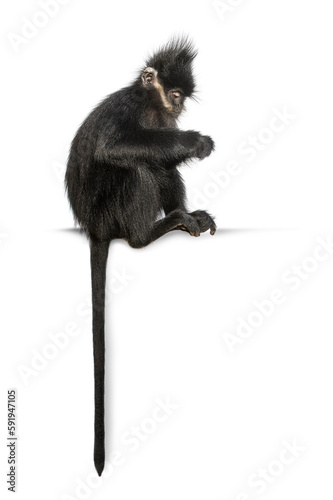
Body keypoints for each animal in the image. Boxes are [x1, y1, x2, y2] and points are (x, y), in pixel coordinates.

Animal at [65, 36, 215, 476]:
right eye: (176, 94)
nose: (179, 108)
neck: (151, 106)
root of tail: (93, 227)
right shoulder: (127, 108)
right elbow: (114, 147)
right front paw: (195, 140)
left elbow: (165, 154)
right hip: (108, 211)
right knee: (137, 166)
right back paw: (146, 235)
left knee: (157, 163)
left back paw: (185, 217)